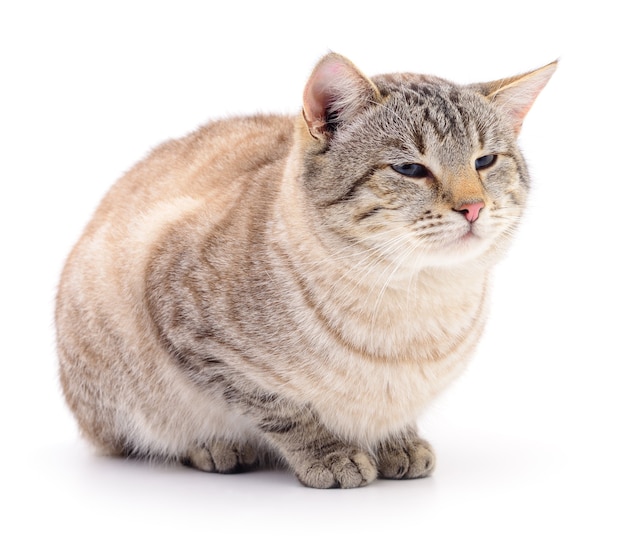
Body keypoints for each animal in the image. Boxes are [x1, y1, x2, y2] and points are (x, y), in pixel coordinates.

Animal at [52, 53, 552, 490]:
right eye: (410, 168)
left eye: (484, 161)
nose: (473, 207)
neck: (415, 302)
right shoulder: (187, 321)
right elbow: (283, 410)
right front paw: (330, 455)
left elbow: (390, 414)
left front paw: (398, 443)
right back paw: (215, 447)